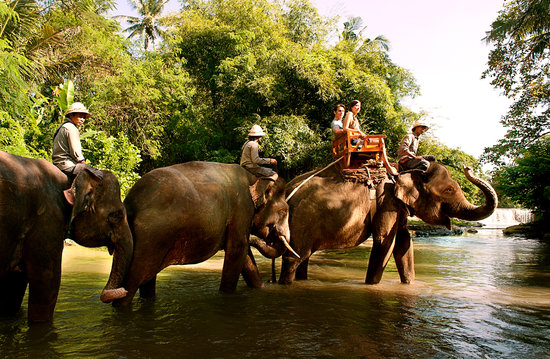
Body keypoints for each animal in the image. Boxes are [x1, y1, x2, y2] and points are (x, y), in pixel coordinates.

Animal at [0, 150, 133, 324]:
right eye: (115, 215)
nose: (124, 290)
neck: (70, 182)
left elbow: (14, 286)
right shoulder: (47, 220)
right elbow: (47, 282)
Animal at [108, 162, 296, 308]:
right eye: (284, 211)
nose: (271, 281)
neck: (252, 177)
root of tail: (130, 202)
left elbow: (245, 255)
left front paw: (261, 289)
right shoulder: (242, 208)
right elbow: (237, 249)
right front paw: (226, 296)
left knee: (147, 278)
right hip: (150, 238)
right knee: (133, 279)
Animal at [252, 162, 498, 286]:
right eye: (448, 190)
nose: (468, 168)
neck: (403, 173)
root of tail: (287, 192)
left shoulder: (397, 206)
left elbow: (404, 244)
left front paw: (410, 285)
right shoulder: (386, 202)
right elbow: (384, 242)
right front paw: (372, 286)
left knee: (304, 257)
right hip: (301, 222)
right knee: (293, 258)